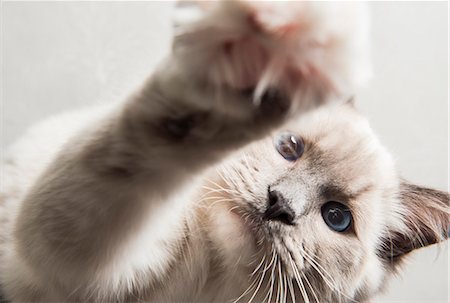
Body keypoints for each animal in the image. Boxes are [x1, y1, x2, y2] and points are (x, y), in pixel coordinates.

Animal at [0, 1, 448, 302]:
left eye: (336, 218)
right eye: (289, 147)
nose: (278, 204)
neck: (202, 285)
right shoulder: (73, 251)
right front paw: (268, 49)